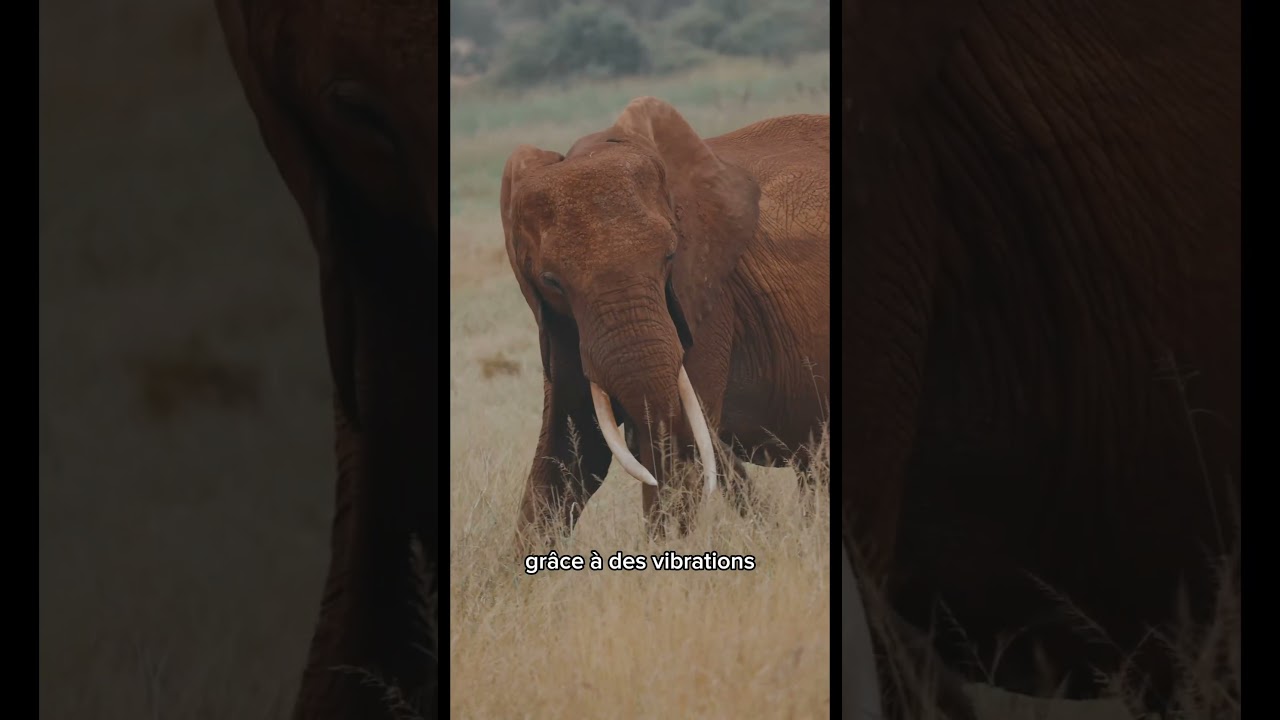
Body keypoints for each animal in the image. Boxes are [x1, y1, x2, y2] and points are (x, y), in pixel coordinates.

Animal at [501, 98, 831, 549]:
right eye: (551, 281)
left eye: (670, 256)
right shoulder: (558, 324)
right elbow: (568, 452)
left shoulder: (706, 299)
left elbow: (674, 446)